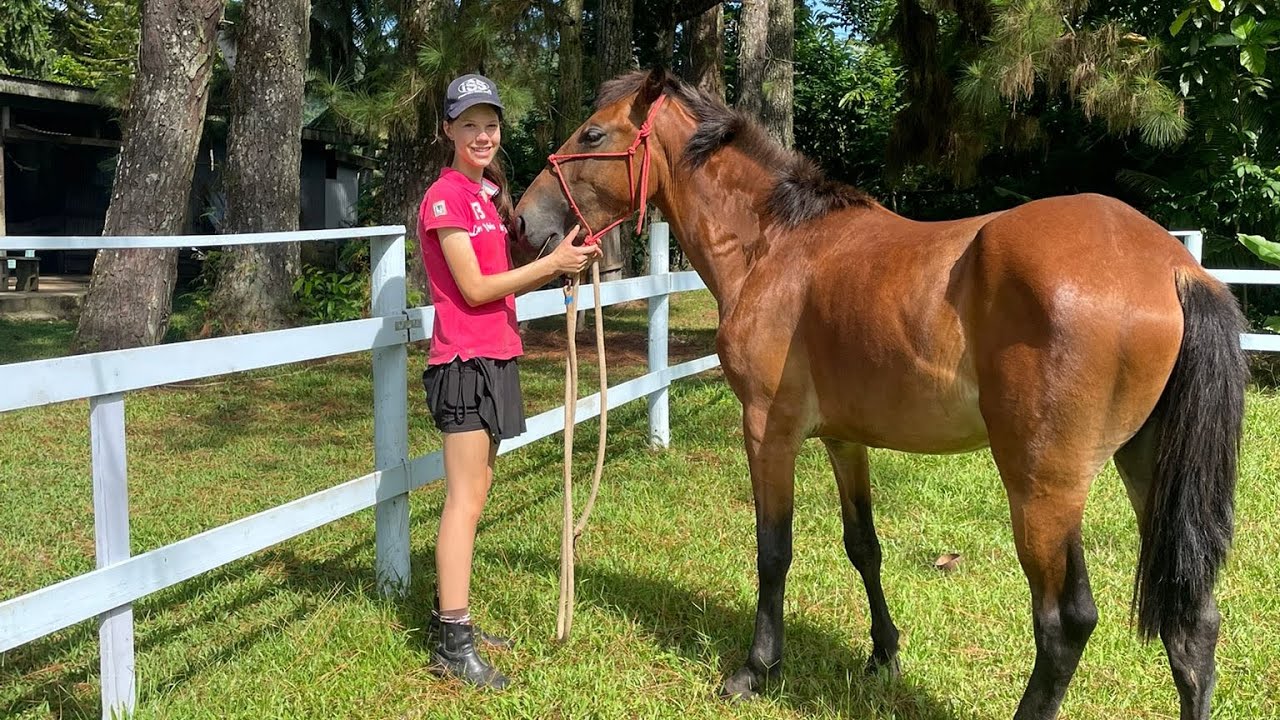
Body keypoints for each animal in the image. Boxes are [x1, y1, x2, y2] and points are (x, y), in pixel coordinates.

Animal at [513, 68, 1247, 720]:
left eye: (592, 132)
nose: (521, 222)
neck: (775, 245)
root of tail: (1173, 267)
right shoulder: (845, 438)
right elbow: (863, 544)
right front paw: (884, 653)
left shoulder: (767, 430)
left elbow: (773, 550)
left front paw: (756, 669)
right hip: (1146, 467)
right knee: (1194, 621)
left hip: (1044, 487)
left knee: (1065, 622)